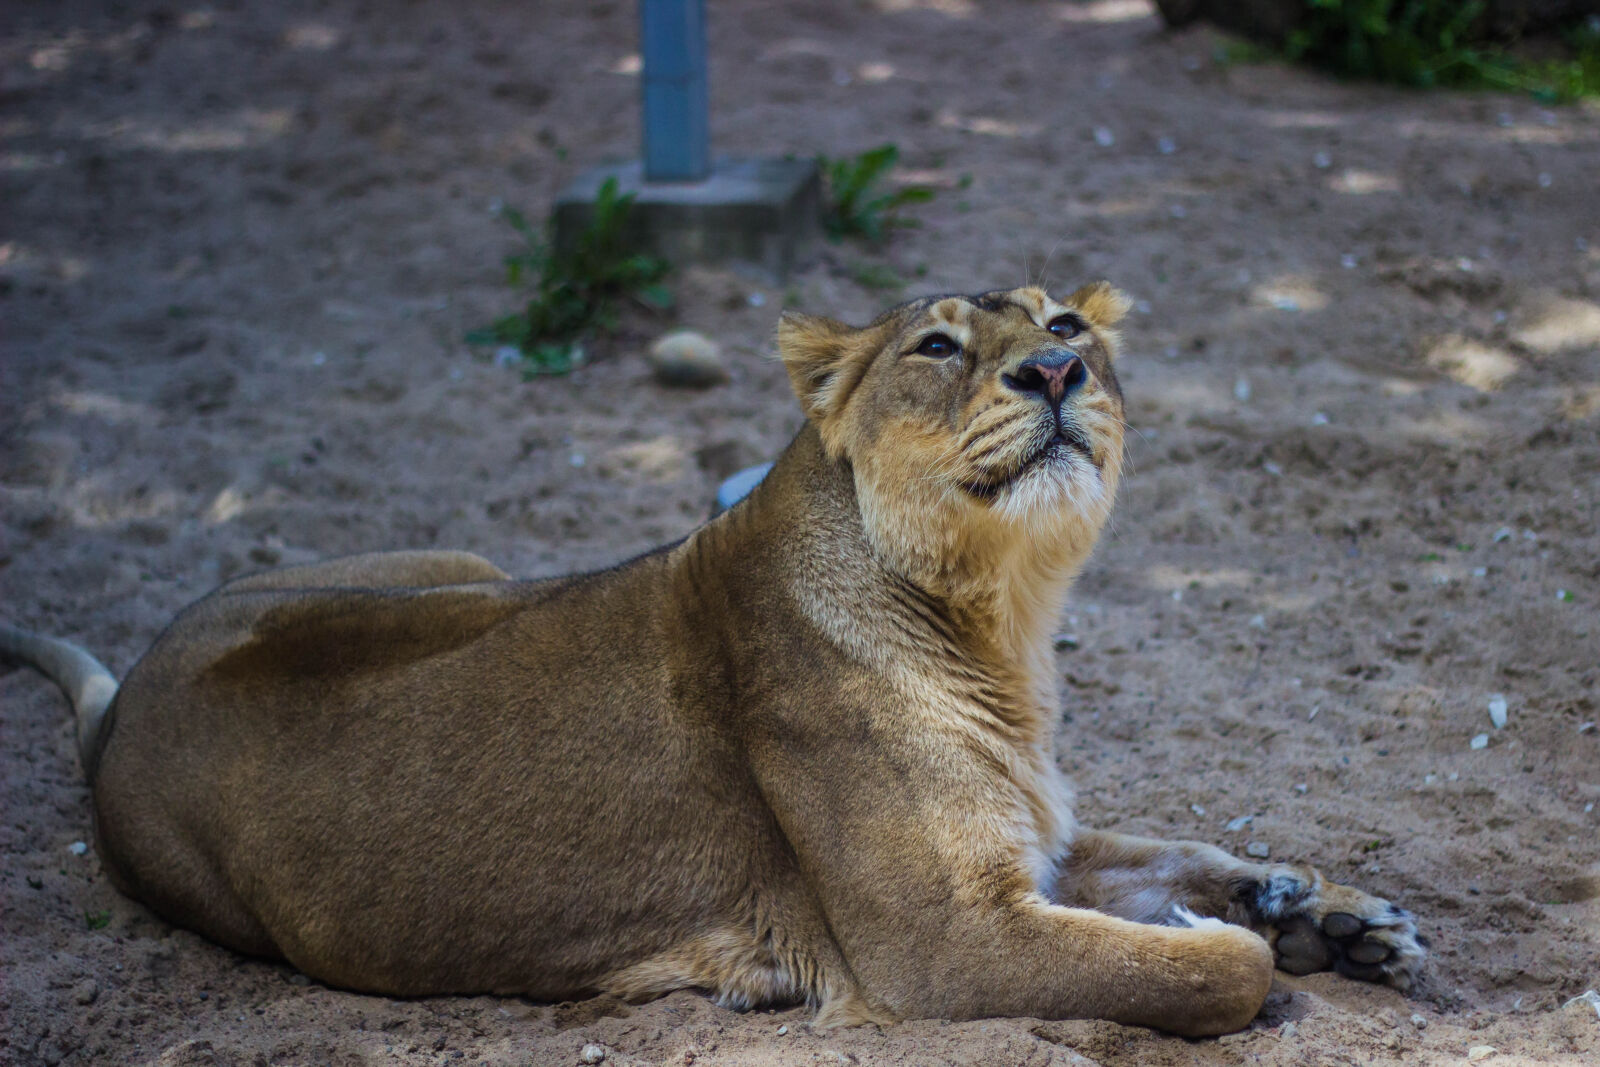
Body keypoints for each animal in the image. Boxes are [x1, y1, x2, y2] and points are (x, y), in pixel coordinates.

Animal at [1, 284, 1424, 1037]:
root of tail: (123, 707)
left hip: (462, 560)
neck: (999, 624)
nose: (1059, 366)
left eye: (1068, 317)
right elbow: (1206, 969)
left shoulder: (1032, 845)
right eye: (936, 345)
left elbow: (1171, 845)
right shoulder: (942, 943)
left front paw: (1333, 915)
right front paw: (1247, 936)